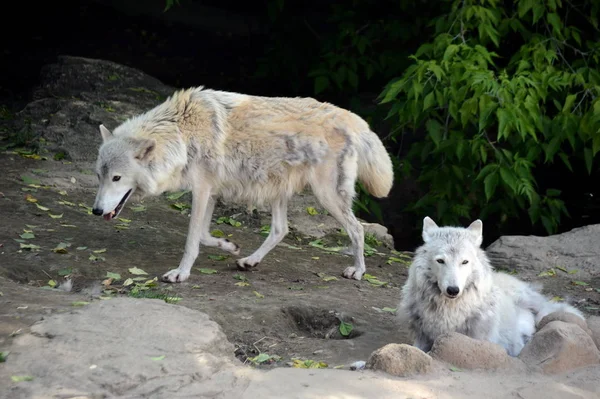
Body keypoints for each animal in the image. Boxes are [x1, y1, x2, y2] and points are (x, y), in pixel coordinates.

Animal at [90, 86, 394, 282]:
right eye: (99, 176)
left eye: (117, 178)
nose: (95, 211)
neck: (182, 133)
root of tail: (352, 117)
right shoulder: (210, 192)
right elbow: (203, 235)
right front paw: (229, 246)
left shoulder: (202, 191)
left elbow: (191, 240)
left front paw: (181, 273)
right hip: (279, 191)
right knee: (281, 230)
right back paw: (249, 261)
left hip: (325, 195)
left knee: (357, 229)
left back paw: (358, 271)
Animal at [398, 217, 584, 358]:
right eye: (440, 261)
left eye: (464, 262)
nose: (453, 290)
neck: (450, 311)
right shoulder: (421, 339)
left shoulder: (480, 340)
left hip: (532, 302)